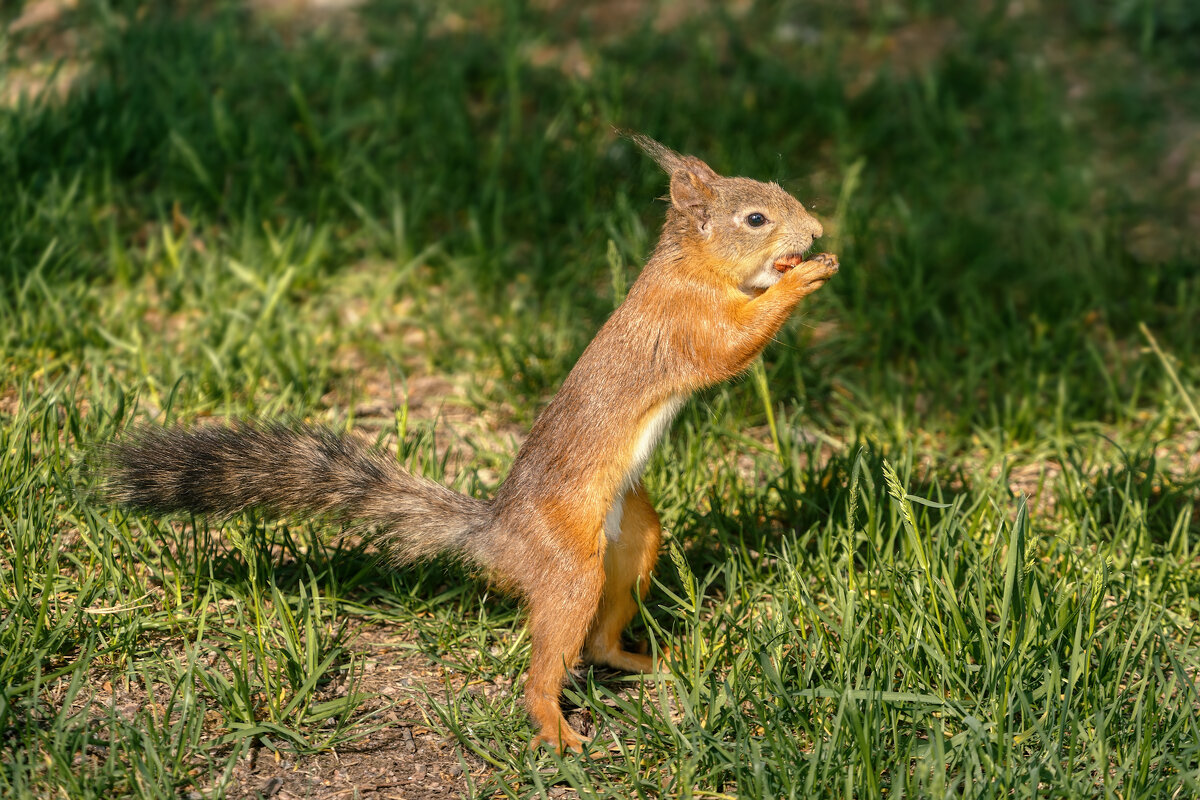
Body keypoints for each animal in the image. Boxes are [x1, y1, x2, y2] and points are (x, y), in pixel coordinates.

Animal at [108, 134, 840, 753]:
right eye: (755, 218)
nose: (815, 232)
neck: (692, 266)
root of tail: (498, 539)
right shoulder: (685, 323)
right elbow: (731, 348)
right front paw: (804, 276)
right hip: (568, 566)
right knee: (549, 665)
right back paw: (555, 732)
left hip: (633, 539)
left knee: (599, 641)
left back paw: (646, 657)